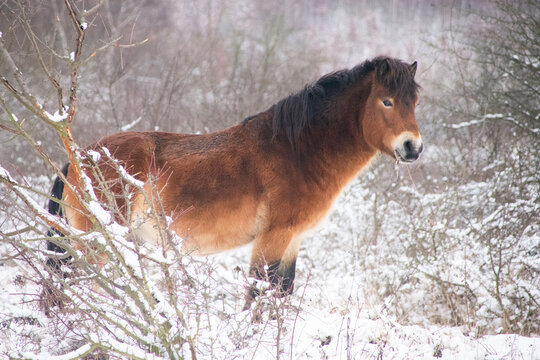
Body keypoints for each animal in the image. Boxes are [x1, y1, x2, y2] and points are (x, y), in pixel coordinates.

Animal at [50, 56, 422, 300]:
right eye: (386, 101)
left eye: (415, 102)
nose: (413, 147)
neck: (297, 150)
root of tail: (77, 160)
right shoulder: (272, 238)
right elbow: (259, 294)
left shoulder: (293, 240)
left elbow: (281, 295)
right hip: (97, 245)